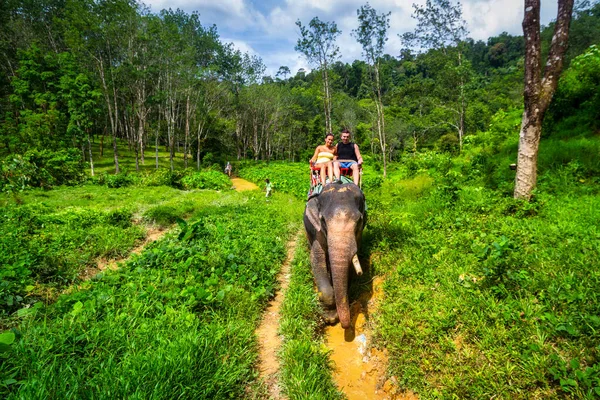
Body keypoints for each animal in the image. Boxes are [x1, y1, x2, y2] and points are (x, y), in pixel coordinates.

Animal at [304, 181, 366, 328]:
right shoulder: (317, 230)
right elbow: (316, 257)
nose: (346, 326)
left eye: (359, 221)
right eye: (323, 220)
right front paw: (329, 318)